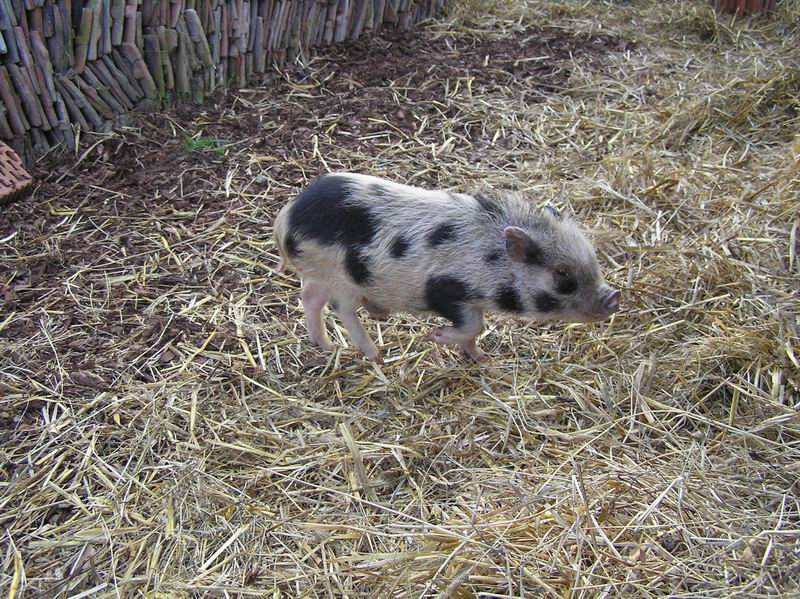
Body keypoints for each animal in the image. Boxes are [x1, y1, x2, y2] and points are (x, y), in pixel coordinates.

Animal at [273, 172, 620, 364]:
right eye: (562, 274)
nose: (613, 297)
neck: (490, 259)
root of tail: (287, 217)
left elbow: (473, 332)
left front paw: (481, 358)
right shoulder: (449, 291)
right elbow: (472, 326)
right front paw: (435, 337)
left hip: (319, 271)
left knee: (310, 299)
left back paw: (326, 345)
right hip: (342, 277)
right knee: (341, 309)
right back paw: (375, 356)